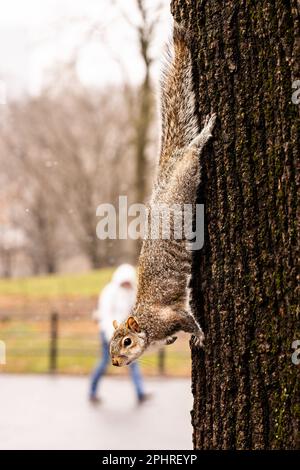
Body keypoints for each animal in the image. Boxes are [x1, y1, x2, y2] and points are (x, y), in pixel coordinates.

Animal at [109, 21, 216, 368]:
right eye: (110, 347)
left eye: (127, 341)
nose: (116, 363)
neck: (145, 324)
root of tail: (163, 182)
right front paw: (172, 341)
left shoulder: (170, 315)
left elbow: (188, 319)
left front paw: (199, 336)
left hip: (185, 181)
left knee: (192, 155)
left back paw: (203, 135)